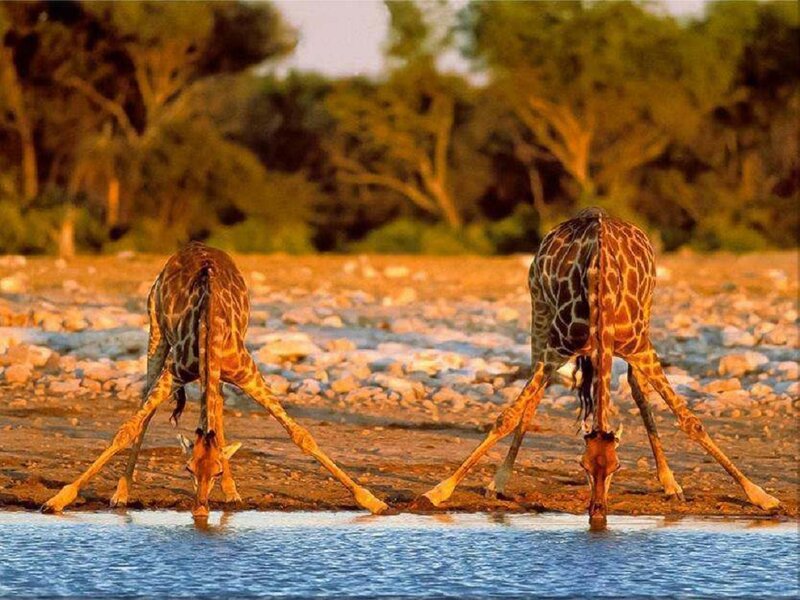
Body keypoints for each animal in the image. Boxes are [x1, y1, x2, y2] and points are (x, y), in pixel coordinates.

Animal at [42, 242, 388, 517]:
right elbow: (127, 429)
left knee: (216, 412)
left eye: (217, 470)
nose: (200, 510)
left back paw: (233, 492)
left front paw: (372, 501)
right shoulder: (175, 372)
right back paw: (121, 493)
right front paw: (58, 500)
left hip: (214, 371)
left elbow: (301, 435)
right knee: (148, 404)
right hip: (156, 333)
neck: (210, 328)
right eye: (187, 468)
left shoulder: (247, 372)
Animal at [413, 207, 781, 522]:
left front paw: (762, 496)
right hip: (539, 310)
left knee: (637, 388)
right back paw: (498, 482)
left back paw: (670, 484)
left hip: (646, 315)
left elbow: (691, 421)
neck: (601, 292)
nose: (598, 514)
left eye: (617, 468)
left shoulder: (640, 347)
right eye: (583, 466)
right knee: (533, 397)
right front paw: (439, 491)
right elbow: (508, 415)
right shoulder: (555, 350)